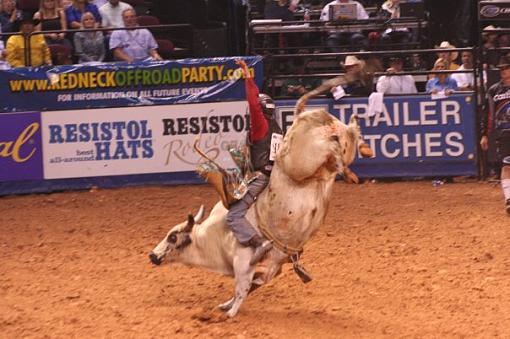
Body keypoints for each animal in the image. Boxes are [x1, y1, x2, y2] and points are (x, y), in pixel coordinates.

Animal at [147, 67, 374, 318]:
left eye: (172, 236)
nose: (152, 255)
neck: (212, 237)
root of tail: (301, 116)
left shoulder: (243, 261)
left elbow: (241, 289)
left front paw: (228, 314)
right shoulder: (272, 266)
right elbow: (254, 285)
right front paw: (224, 305)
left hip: (304, 159)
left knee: (333, 145)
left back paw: (348, 166)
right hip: (337, 144)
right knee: (351, 133)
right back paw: (360, 150)